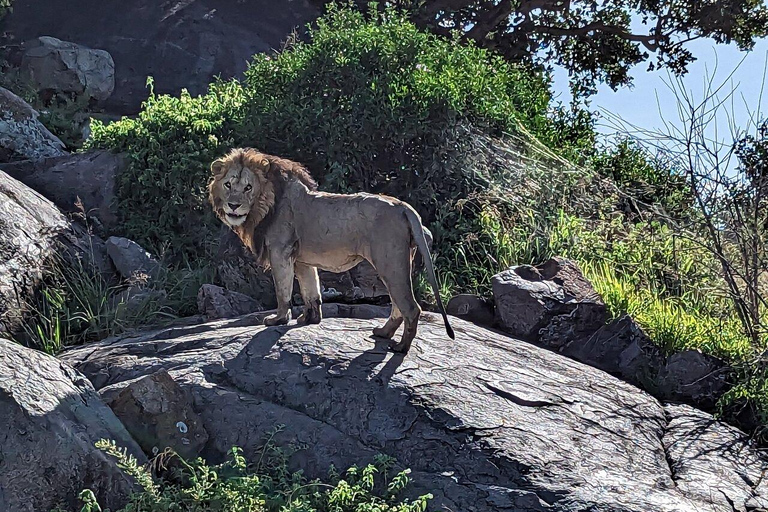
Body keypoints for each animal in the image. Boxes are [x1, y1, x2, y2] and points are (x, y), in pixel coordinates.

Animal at [207, 147, 452, 352]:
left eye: (248, 187)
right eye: (228, 185)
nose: (233, 205)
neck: (263, 206)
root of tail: (404, 207)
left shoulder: (280, 251)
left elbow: (283, 291)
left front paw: (278, 319)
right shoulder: (301, 259)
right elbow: (311, 290)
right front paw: (309, 319)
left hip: (389, 261)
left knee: (410, 307)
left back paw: (400, 347)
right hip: (397, 263)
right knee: (398, 305)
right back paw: (383, 333)